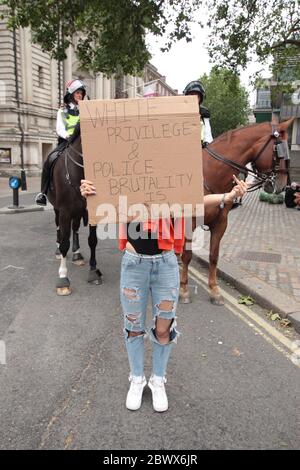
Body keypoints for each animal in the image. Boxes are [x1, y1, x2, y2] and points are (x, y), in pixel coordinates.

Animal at [179, 117, 294, 304]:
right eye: (280, 150)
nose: (283, 186)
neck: (210, 173)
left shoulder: (220, 223)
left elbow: (213, 256)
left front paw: (214, 289)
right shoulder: (190, 222)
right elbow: (187, 255)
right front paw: (183, 289)